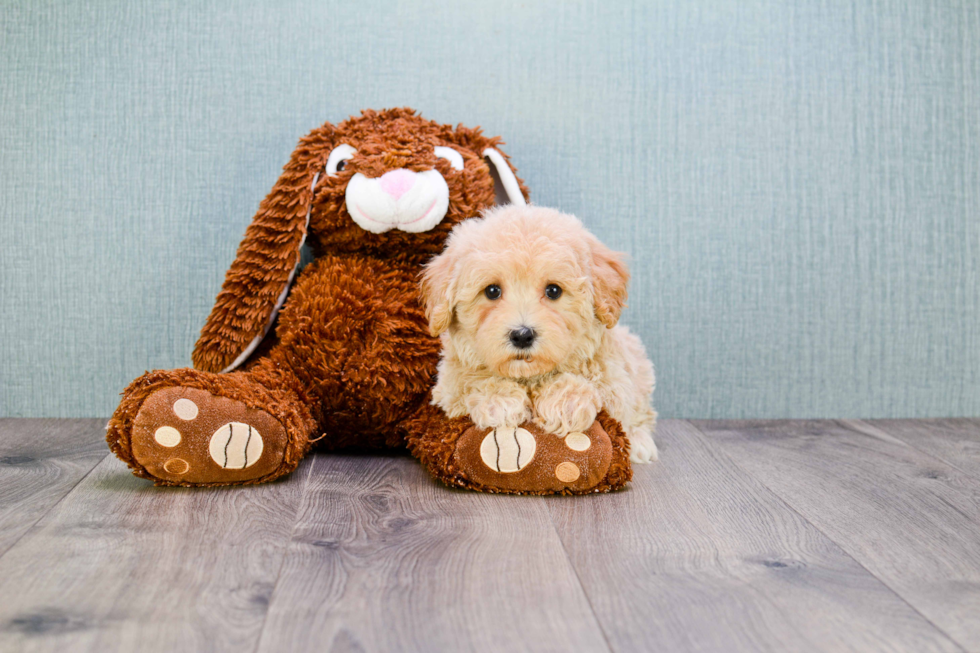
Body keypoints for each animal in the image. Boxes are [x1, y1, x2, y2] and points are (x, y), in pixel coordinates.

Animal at [422, 205, 660, 464]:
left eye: (553, 290)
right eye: (492, 291)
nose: (522, 335)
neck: (529, 376)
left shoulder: (614, 379)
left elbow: (601, 392)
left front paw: (566, 401)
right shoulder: (448, 390)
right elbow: (470, 381)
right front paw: (499, 400)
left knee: (641, 415)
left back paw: (640, 443)